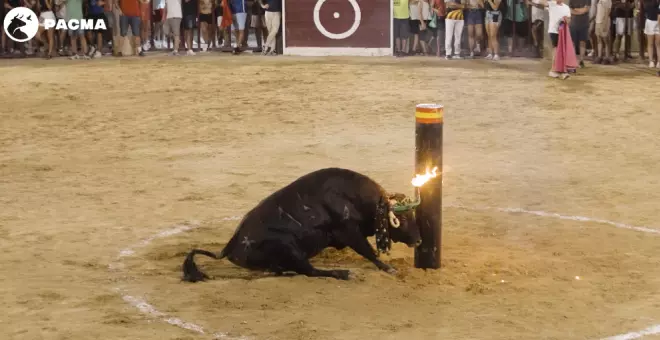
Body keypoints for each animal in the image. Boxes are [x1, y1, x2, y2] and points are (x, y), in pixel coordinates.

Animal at [180, 168, 420, 282]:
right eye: (402, 219)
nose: (418, 240)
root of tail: (230, 246)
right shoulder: (349, 231)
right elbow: (368, 251)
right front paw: (388, 268)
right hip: (289, 249)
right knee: (310, 271)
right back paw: (343, 273)